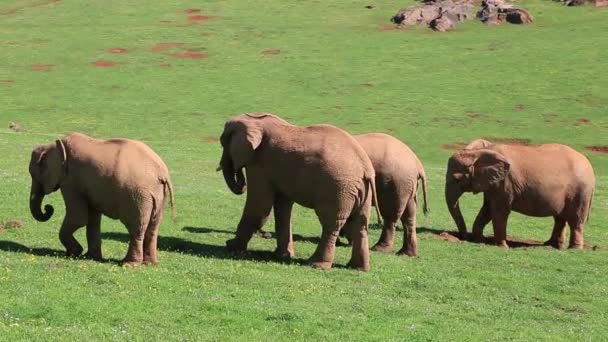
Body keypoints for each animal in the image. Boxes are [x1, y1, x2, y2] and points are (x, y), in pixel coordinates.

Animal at [28, 132, 176, 266]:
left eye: (33, 174)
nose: (48, 208)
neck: (55, 145)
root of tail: (161, 172)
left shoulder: (70, 181)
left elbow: (78, 218)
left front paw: (74, 253)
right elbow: (92, 219)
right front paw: (89, 257)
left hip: (137, 196)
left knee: (136, 227)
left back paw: (128, 264)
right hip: (157, 195)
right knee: (153, 227)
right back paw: (150, 263)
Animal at [218, 113, 380, 272]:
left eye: (223, 142)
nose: (240, 179)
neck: (255, 120)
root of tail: (365, 168)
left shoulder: (260, 163)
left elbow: (260, 207)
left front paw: (231, 246)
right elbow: (282, 209)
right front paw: (283, 256)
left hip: (338, 188)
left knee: (331, 224)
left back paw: (316, 265)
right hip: (360, 191)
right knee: (360, 224)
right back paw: (358, 268)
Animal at [444, 138, 596, 248]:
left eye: (457, 179)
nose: (462, 237)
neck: (480, 152)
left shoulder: (506, 183)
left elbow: (499, 211)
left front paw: (502, 247)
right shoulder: (493, 183)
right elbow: (487, 209)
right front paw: (479, 240)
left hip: (581, 191)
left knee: (576, 220)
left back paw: (574, 249)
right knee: (560, 218)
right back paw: (551, 245)